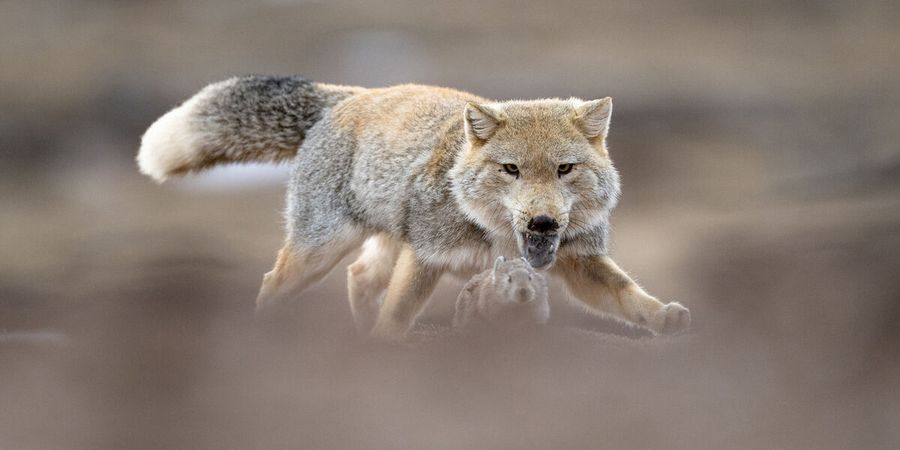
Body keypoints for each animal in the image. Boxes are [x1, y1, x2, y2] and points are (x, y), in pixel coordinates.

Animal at [137, 75, 692, 340]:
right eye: (511, 170)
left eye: (564, 169)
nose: (542, 220)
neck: (499, 235)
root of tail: (353, 96)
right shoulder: (427, 257)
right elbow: (399, 314)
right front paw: (388, 343)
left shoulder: (579, 261)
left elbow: (628, 298)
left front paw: (664, 316)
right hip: (320, 251)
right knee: (274, 283)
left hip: (382, 246)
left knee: (360, 278)